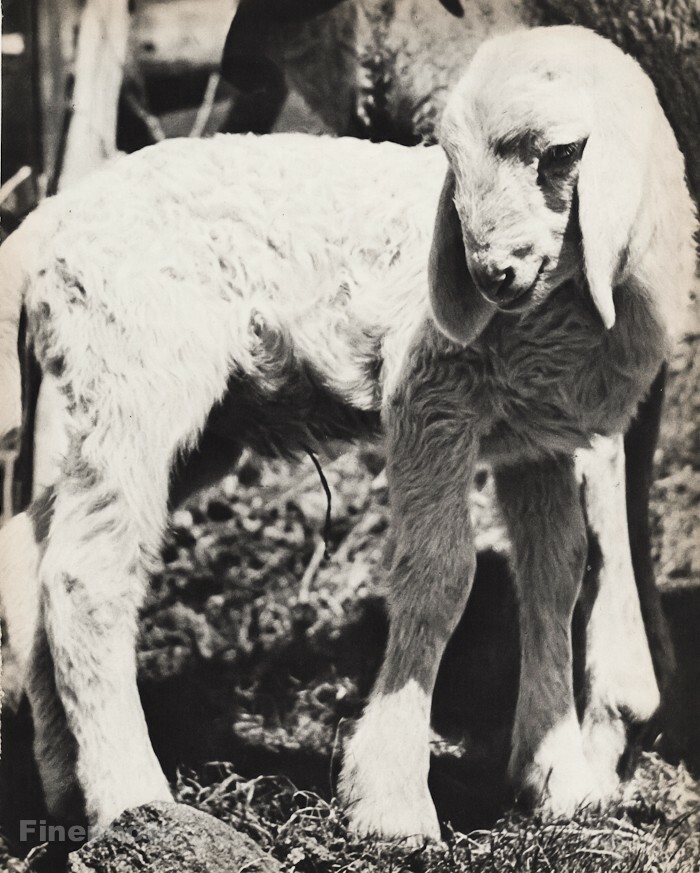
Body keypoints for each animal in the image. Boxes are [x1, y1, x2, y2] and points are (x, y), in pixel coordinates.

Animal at [0, 25, 696, 840]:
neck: (561, 317)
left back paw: (61, 782)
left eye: (559, 153)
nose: (488, 274)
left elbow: (554, 579)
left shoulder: (538, 439)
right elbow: (438, 576)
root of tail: (50, 220)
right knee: (86, 577)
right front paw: (393, 801)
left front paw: (559, 782)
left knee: (31, 552)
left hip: (170, 415)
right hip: (135, 372)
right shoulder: (430, 395)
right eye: (451, 162)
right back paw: (134, 800)